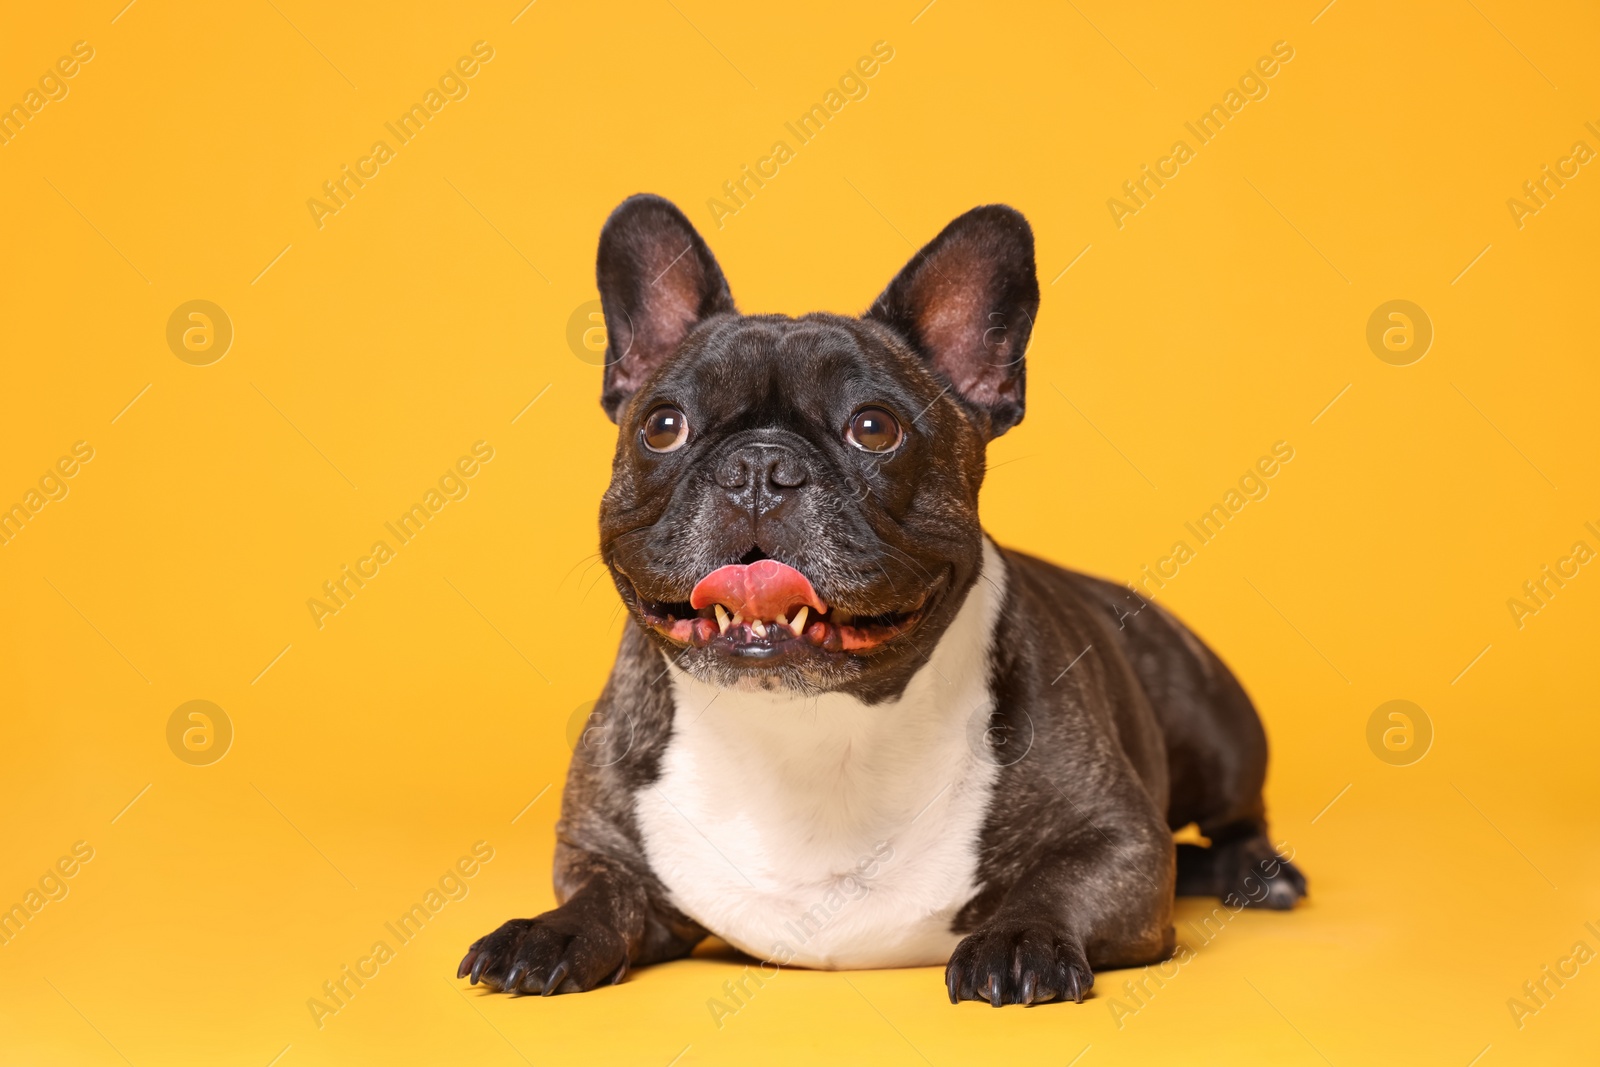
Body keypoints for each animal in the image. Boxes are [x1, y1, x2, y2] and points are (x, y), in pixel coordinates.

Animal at [457, 194, 1305, 1011]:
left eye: (874, 428)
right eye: (664, 426)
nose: (760, 466)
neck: (805, 722)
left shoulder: (1121, 842)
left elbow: (1057, 882)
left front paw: (1021, 938)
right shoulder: (600, 844)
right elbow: (602, 892)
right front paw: (549, 931)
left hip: (1214, 726)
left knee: (1238, 814)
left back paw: (1255, 873)